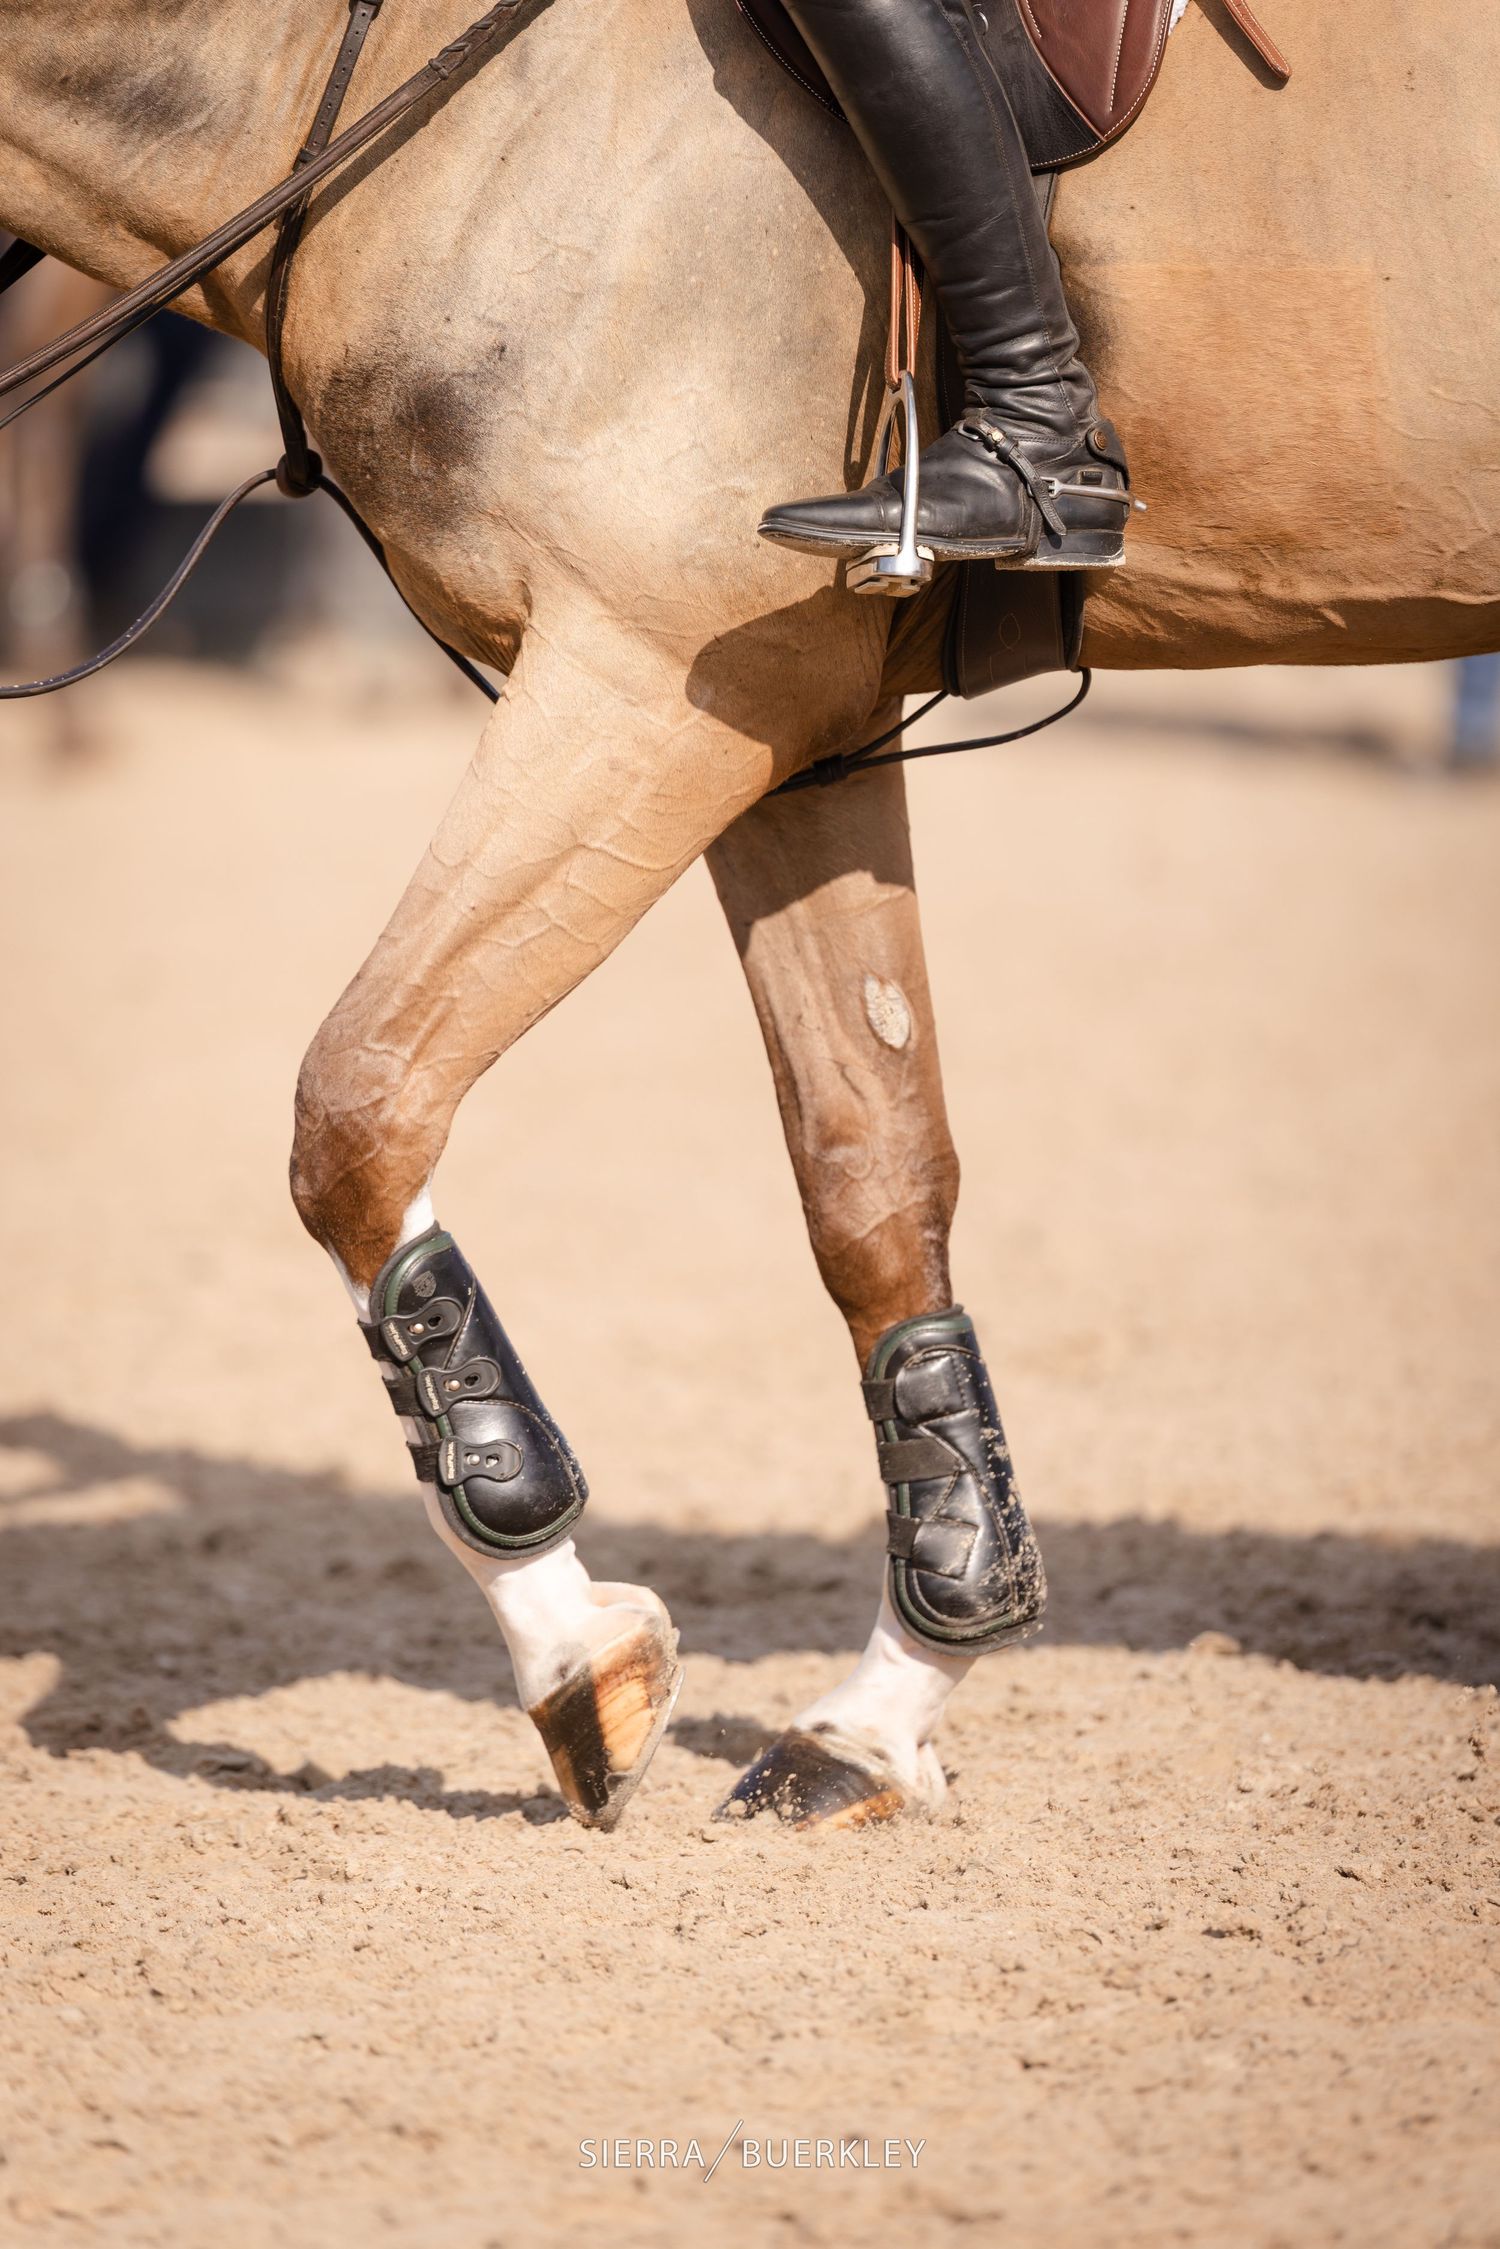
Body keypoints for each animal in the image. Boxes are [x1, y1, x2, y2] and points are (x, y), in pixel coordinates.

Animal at [1, 0, 1495, 1827]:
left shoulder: (647, 679)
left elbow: (360, 1107)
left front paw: (569, 1639)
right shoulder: (793, 722)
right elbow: (874, 1179)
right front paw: (894, 1688)